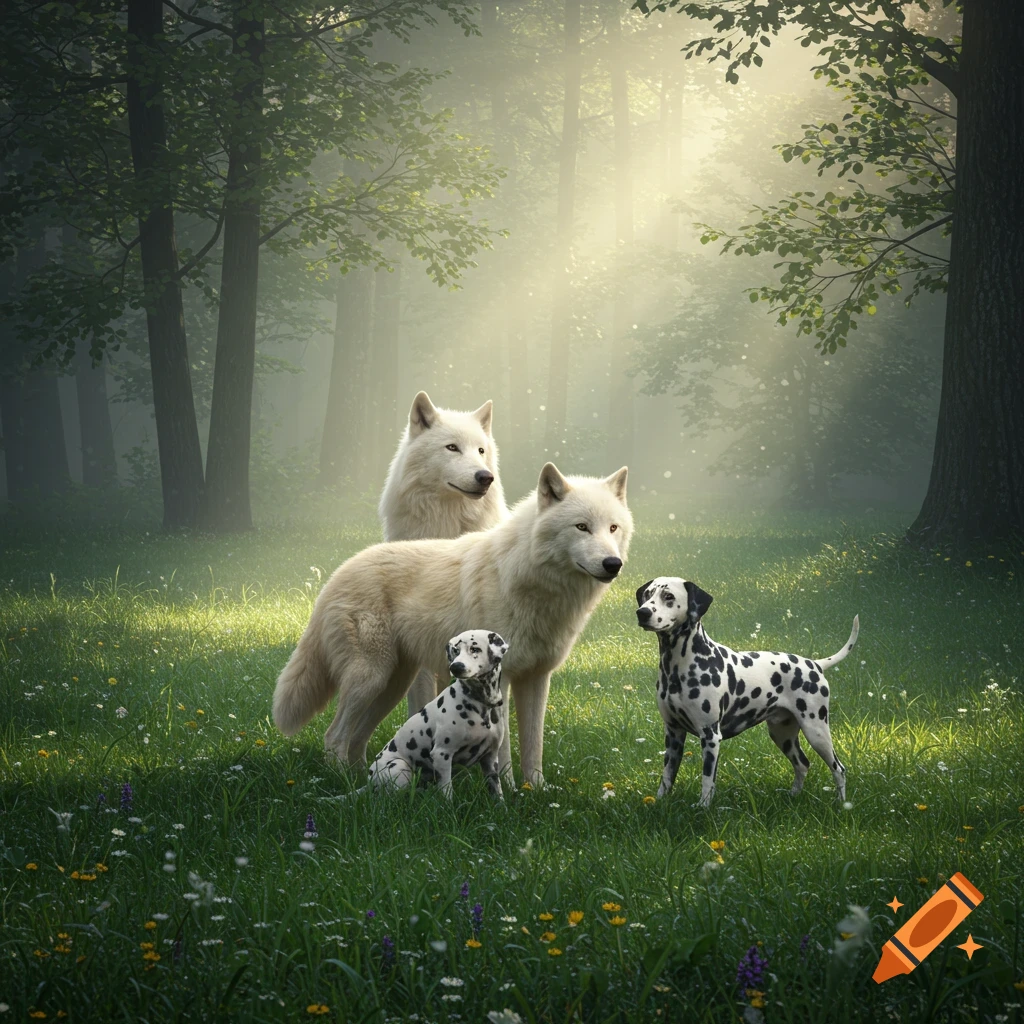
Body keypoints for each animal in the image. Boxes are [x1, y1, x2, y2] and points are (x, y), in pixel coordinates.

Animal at [273, 463, 633, 788]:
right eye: (582, 527)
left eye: (613, 528)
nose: (613, 564)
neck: (527, 578)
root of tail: (337, 574)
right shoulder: (503, 681)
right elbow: (503, 751)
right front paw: (510, 791)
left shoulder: (536, 679)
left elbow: (534, 748)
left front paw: (536, 791)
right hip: (371, 679)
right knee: (334, 735)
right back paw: (344, 782)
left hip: (390, 686)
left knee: (357, 739)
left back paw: (365, 781)